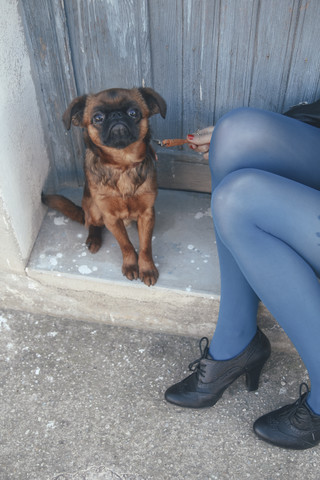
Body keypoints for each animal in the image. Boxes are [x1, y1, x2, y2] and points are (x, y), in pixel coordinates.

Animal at [42, 87, 166, 284]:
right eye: (98, 117)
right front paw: (131, 265)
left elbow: (145, 246)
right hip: (93, 207)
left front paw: (146, 268)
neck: (122, 165)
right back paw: (93, 238)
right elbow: (126, 244)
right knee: (92, 223)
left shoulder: (147, 213)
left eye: (133, 113)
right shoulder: (110, 217)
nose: (116, 115)